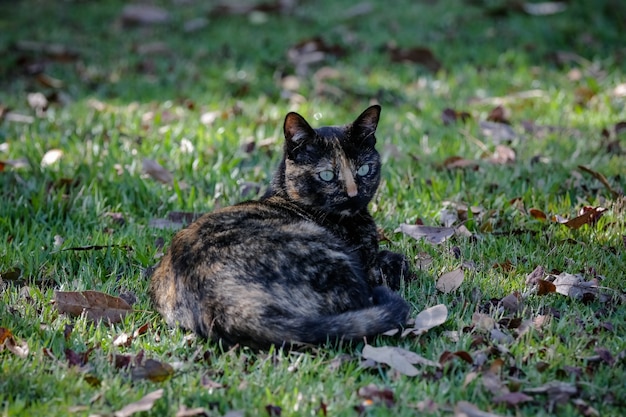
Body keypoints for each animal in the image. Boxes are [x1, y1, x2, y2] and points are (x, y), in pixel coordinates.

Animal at [146, 104, 410, 348]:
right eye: (326, 175)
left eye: (364, 169)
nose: (353, 195)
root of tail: (221, 304)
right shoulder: (370, 267)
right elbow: (397, 262)